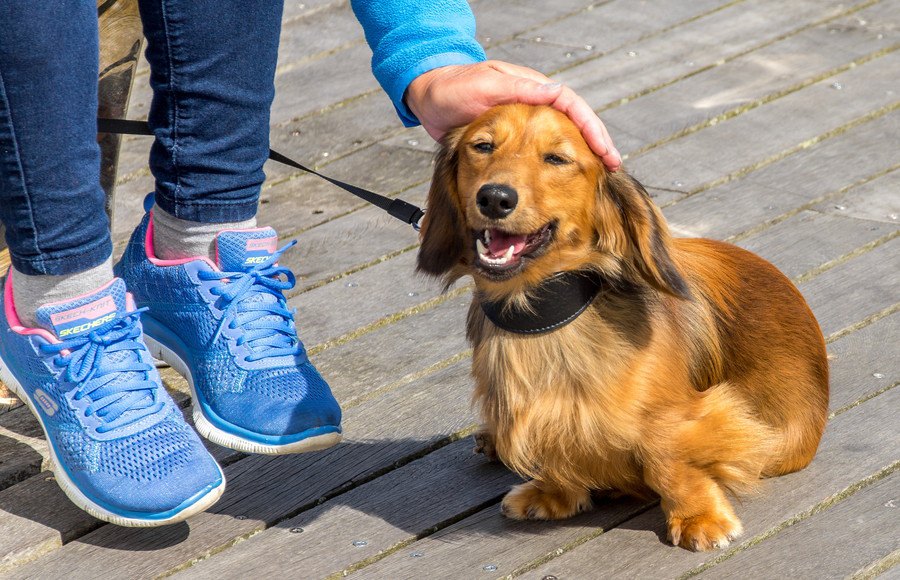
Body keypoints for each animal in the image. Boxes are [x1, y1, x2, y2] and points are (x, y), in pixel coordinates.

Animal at [414, 104, 828, 552]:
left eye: (556, 159)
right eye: (483, 146)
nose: (494, 198)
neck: (543, 321)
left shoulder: (693, 416)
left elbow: (668, 459)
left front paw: (699, 517)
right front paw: (554, 492)